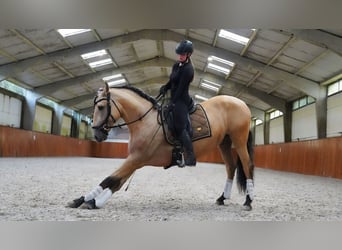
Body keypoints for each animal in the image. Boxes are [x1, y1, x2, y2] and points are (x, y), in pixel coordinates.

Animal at [66, 83, 254, 211]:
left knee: (247, 165)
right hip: (224, 143)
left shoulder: (137, 159)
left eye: (100, 107)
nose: (97, 135)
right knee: (231, 167)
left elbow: (110, 179)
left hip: (239, 140)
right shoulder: (135, 160)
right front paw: (82, 200)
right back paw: (222, 198)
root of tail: (242, 103)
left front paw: (91, 202)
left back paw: (248, 201)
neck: (144, 121)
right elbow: (116, 182)